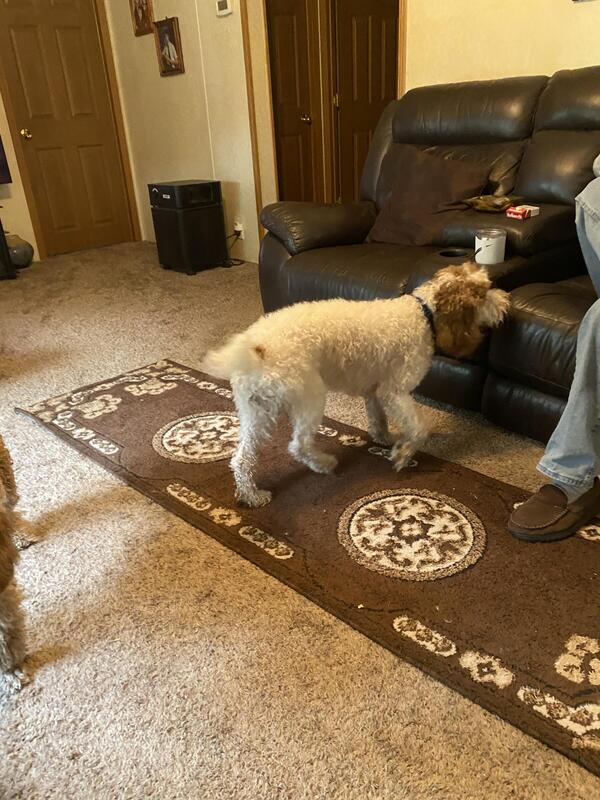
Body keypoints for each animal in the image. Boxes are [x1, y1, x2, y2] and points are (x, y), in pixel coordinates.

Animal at [204, 262, 510, 507]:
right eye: (484, 293)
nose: (507, 302)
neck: (423, 313)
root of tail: (256, 347)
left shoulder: (375, 392)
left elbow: (379, 420)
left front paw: (384, 440)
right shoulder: (395, 391)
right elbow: (419, 429)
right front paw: (402, 455)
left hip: (257, 412)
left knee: (242, 459)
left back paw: (251, 496)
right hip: (310, 399)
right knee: (298, 446)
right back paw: (324, 464)